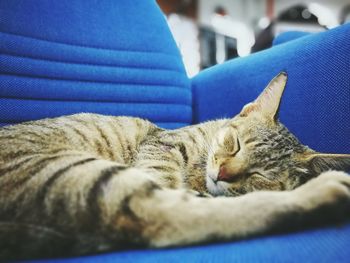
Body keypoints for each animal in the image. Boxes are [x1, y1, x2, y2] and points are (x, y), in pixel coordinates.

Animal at [0, 72, 350, 262]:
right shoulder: (162, 146)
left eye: (259, 175)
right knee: (170, 216)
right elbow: (165, 174)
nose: (222, 174)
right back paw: (325, 191)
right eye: (235, 144)